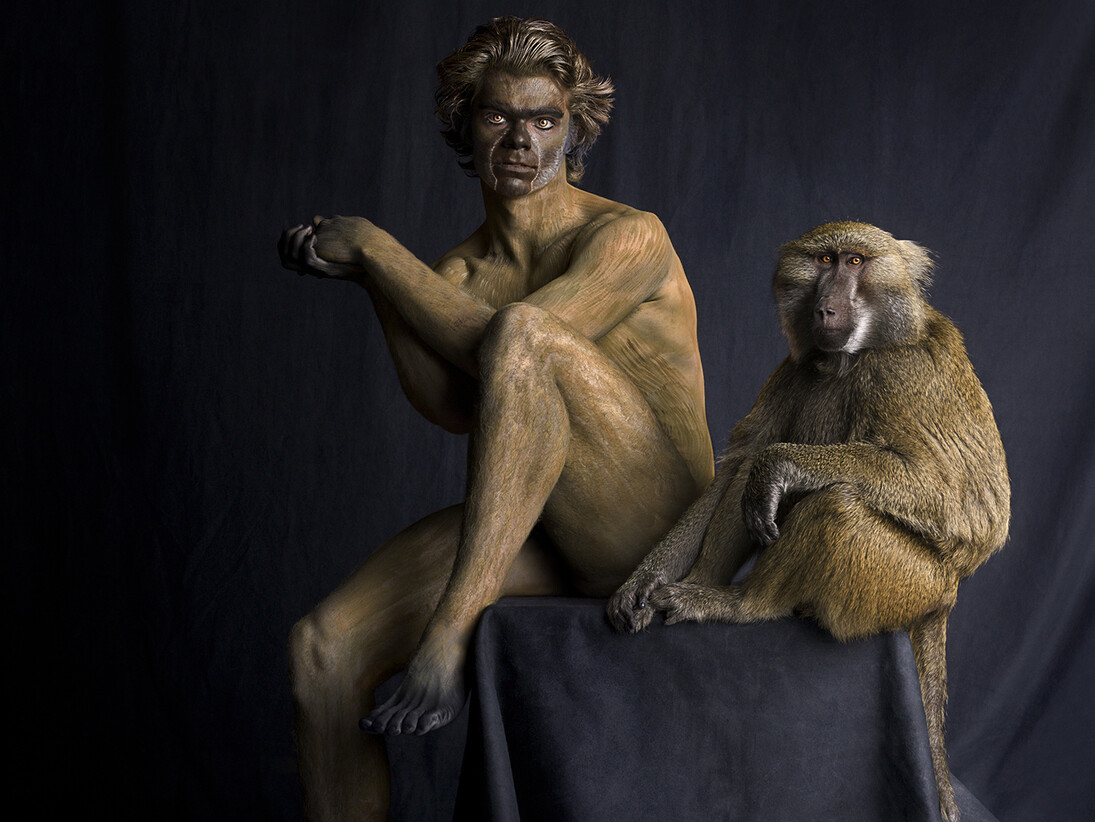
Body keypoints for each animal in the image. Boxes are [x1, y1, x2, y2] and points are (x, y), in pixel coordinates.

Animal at [607, 221, 1010, 822]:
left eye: (854, 262)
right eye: (823, 261)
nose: (826, 308)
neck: (850, 358)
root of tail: (944, 601)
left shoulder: (902, 373)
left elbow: (960, 498)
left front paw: (783, 464)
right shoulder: (792, 371)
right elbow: (739, 464)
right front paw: (640, 583)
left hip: (908, 584)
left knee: (835, 506)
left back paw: (743, 605)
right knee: (749, 477)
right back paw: (697, 585)